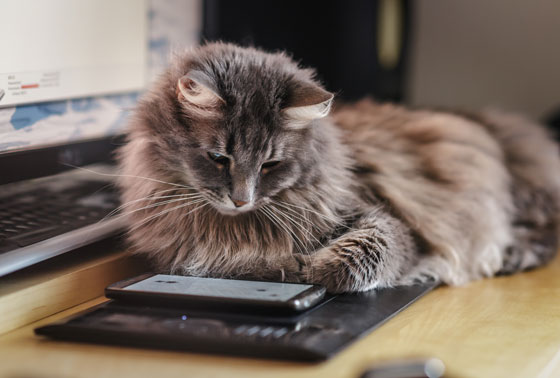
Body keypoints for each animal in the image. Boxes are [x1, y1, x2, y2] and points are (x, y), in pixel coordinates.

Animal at [117, 42, 560, 294]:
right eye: (218, 158)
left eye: (271, 164)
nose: (241, 201)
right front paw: (277, 266)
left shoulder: (387, 219)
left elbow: (358, 258)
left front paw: (304, 268)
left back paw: (513, 254)